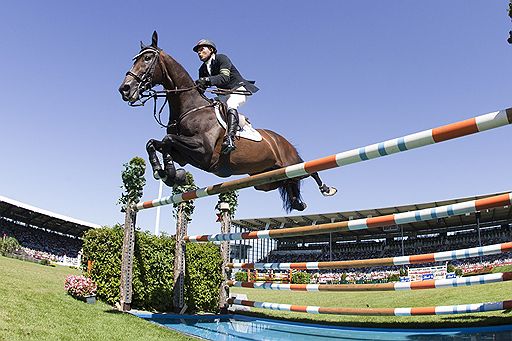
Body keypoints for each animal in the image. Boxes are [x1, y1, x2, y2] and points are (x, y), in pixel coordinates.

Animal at [118, 32, 338, 212]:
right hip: (265, 180)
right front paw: (166, 172)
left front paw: (169, 173)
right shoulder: (185, 155)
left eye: (147, 58)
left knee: (309, 170)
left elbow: (168, 140)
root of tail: (281, 140)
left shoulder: (204, 152)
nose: (125, 89)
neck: (189, 108)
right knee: (287, 182)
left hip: (291, 162)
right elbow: (155, 143)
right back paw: (297, 202)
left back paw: (327, 189)